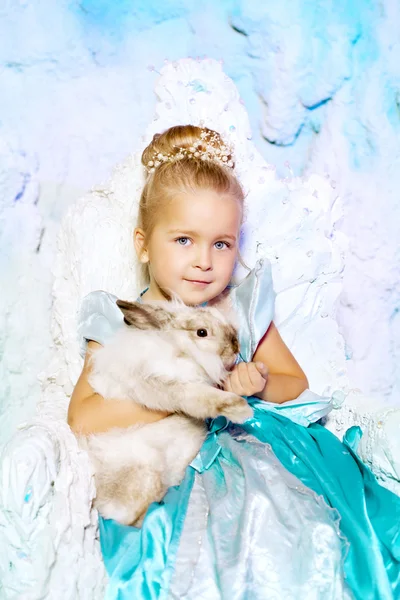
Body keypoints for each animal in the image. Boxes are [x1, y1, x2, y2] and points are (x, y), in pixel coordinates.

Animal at [79, 300, 252, 524]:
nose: (235, 346)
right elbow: (201, 396)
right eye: (202, 332)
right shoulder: (165, 385)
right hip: (146, 474)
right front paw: (241, 409)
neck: (179, 349)